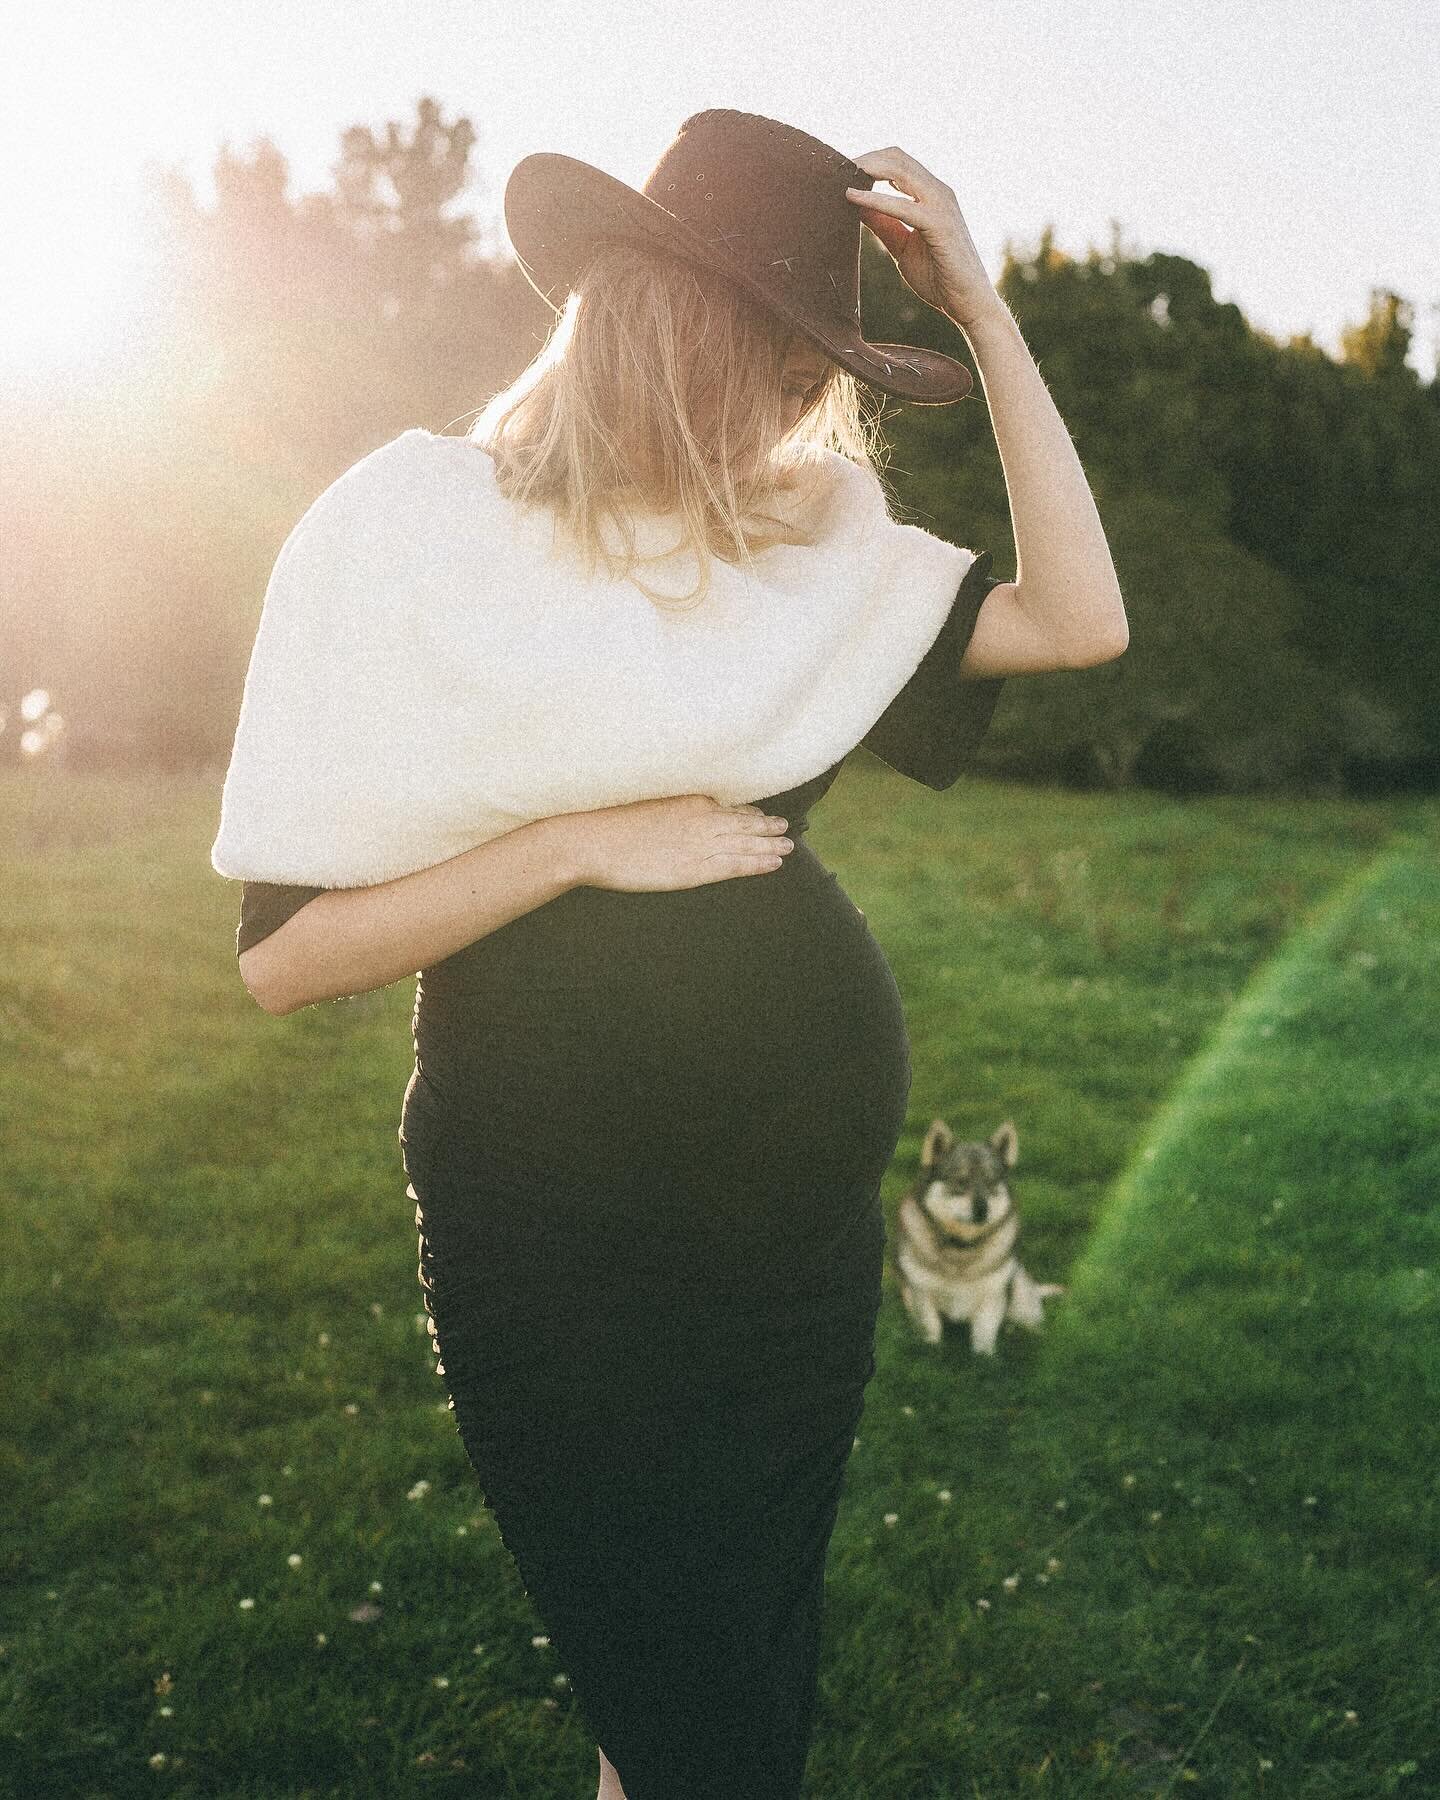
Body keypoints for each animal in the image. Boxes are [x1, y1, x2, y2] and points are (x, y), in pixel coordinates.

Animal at [892, 1108, 1065, 1353]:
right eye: (960, 1182)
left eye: (992, 1182)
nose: (982, 1210)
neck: (962, 1249)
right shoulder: (921, 1295)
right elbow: (931, 1331)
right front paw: (932, 1350)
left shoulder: (992, 1298)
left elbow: (983, 1338)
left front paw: (986, 1358)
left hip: (1021, 1300)